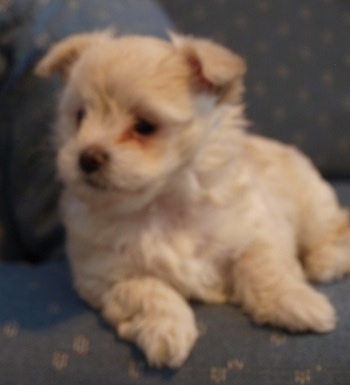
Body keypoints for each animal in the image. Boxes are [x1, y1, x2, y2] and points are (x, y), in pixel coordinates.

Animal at [36, 31, 350, 368]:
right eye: (80, 117)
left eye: (144, 126)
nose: (87, 158)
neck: (159, 204)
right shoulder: (104, 276)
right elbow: (147, 290)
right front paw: (166, 332)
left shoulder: (257, 231)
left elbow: (264, 267)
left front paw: (296, 303)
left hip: (312, 205)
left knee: (335, 228)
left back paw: (326, 261)